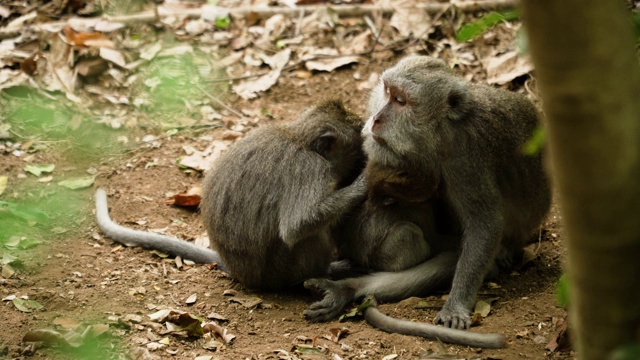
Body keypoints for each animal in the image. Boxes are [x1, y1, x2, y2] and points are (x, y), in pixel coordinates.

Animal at [94, 100, 364, 292]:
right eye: (355, 148)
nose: (360, 160)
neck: (300, 138)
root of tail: (242, 275)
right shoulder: (310, 169)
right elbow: (296, 226)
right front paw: (360, 187)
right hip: (281, 271)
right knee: (307, 236)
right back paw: (328, 271)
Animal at [304, 54, 552, 334]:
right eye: (387, 91)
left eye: (401, 101)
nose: (376, 119)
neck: (440, 131)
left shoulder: (466, 157)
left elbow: (484, 223)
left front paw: (457, 304)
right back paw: (346, 288)